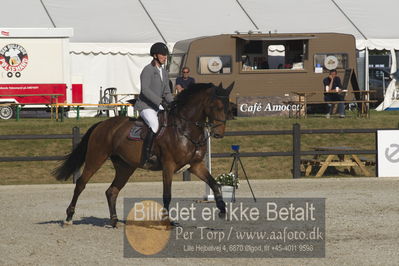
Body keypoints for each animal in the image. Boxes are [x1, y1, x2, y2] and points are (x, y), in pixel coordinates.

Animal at [53, 82, 234, 228]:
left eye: (228, 108)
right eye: (217, 107)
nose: (219, 134)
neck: (185, 129)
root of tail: (103, 124)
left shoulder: (196, 165)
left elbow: (214, 184)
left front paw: (222, 210)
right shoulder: (168, 165)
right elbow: (167, 195)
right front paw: (167, 221)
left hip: (125, 167)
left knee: (112, 191)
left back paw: (114, 221)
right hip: (96, 157)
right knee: (81, 184)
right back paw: (69, 218)